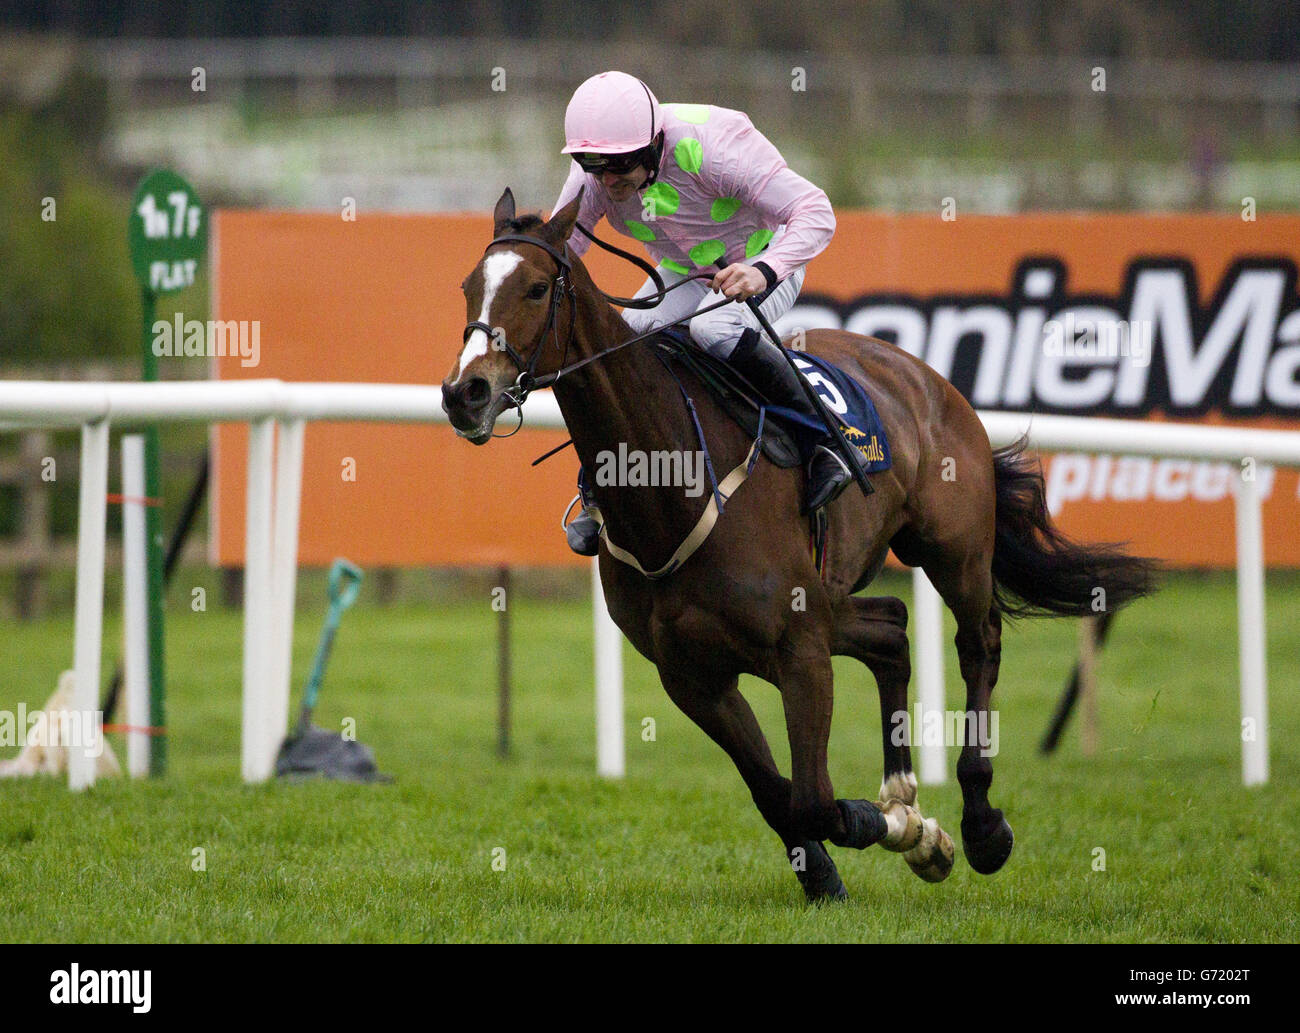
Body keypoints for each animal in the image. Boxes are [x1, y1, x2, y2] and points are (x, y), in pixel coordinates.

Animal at [441, 187, 1157, 901]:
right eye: (468, 286)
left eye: (537, 288)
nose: (463, 393)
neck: (673, 485)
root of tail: (924, 373)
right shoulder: (692, 675)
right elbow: (774, 793)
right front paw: (841, 865)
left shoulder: (800, 649)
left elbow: (812, 798)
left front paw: (910, 833)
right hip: (832, 595)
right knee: (891, 627)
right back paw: (903, 789)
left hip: (951, 550)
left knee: (977, 643)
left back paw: (980, 825)